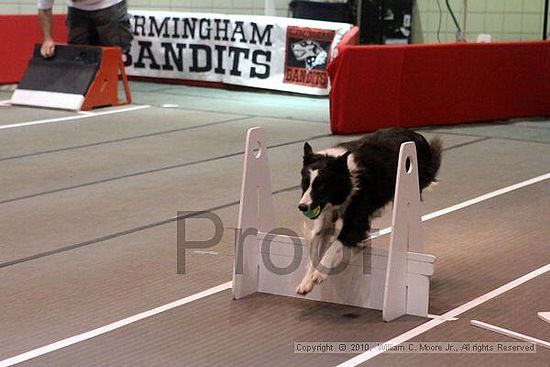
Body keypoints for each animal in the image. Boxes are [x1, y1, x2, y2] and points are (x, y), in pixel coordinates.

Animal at [298, 128, 444, 294]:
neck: (347, 177)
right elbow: (315, 249)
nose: (302, 207)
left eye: (321, 187)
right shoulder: (326, 219)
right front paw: (306, 281)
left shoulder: (355, 223)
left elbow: (334, 246)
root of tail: (416, 135)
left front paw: (319, 273)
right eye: (305, 184)